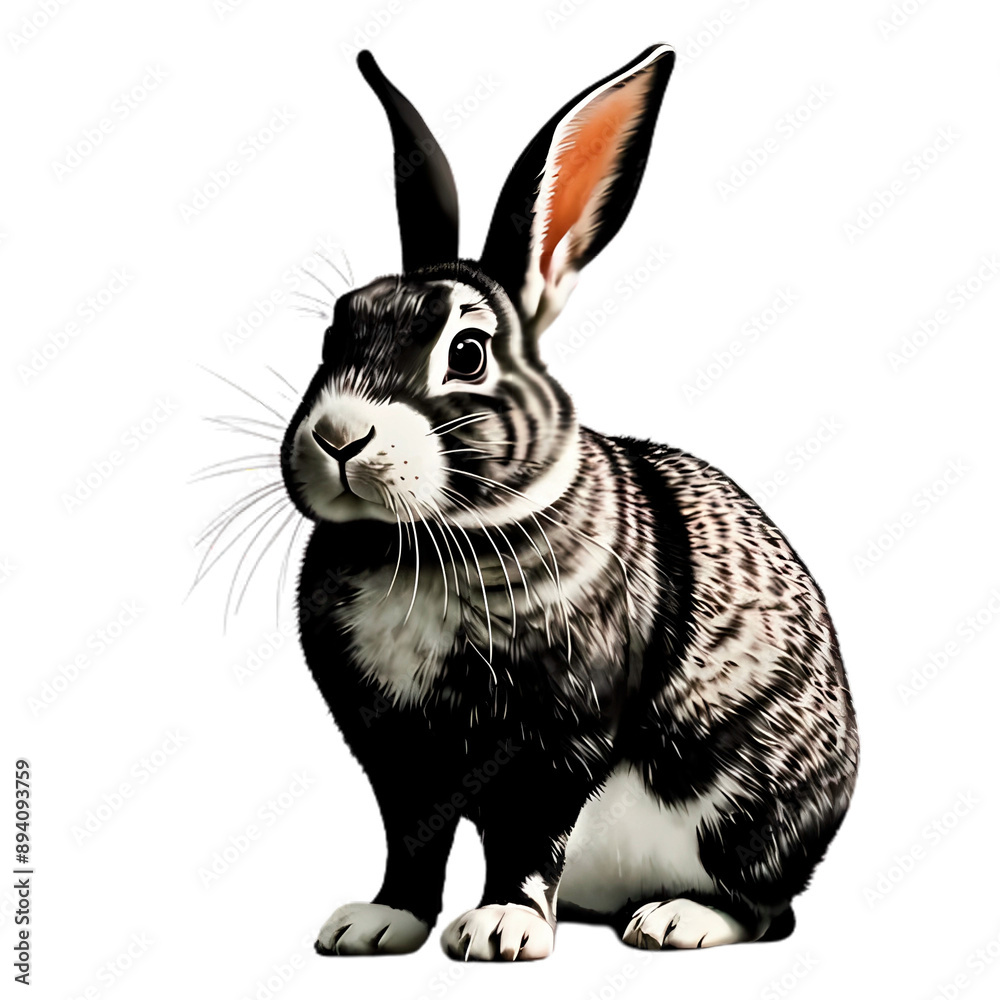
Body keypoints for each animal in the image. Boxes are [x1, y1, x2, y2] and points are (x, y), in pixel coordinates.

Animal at [278, 43, 858, 961]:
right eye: (336, 333)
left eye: (468, 352)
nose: (339, 435)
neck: (425, 539)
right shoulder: (398, 757)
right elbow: (411, 837)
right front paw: (377, 923)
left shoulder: (559, 737)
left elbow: (529, 830)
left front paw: (503, 930)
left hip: (748, 811)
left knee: (767, 908)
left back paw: (673, 920)